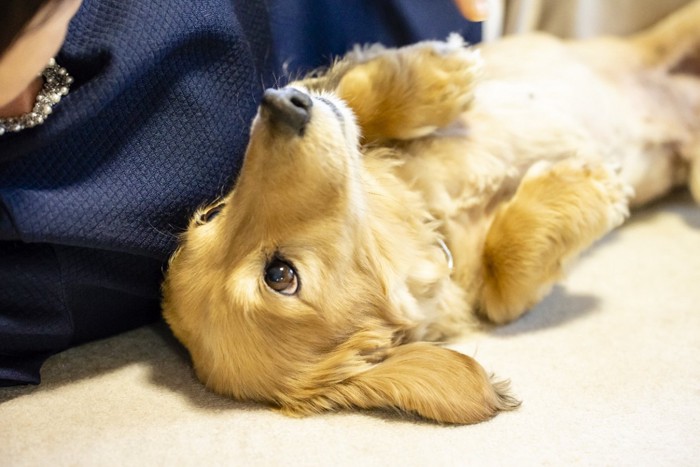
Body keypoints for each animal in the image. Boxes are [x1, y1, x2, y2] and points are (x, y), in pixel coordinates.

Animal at [161, 0, 700, 424]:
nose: (280, 103)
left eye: (210, 216)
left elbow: (355, 94)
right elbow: (504, 285)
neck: (430, 218)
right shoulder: (492, 294)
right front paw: (585, 184)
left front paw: (441, 72)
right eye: (279, 275)